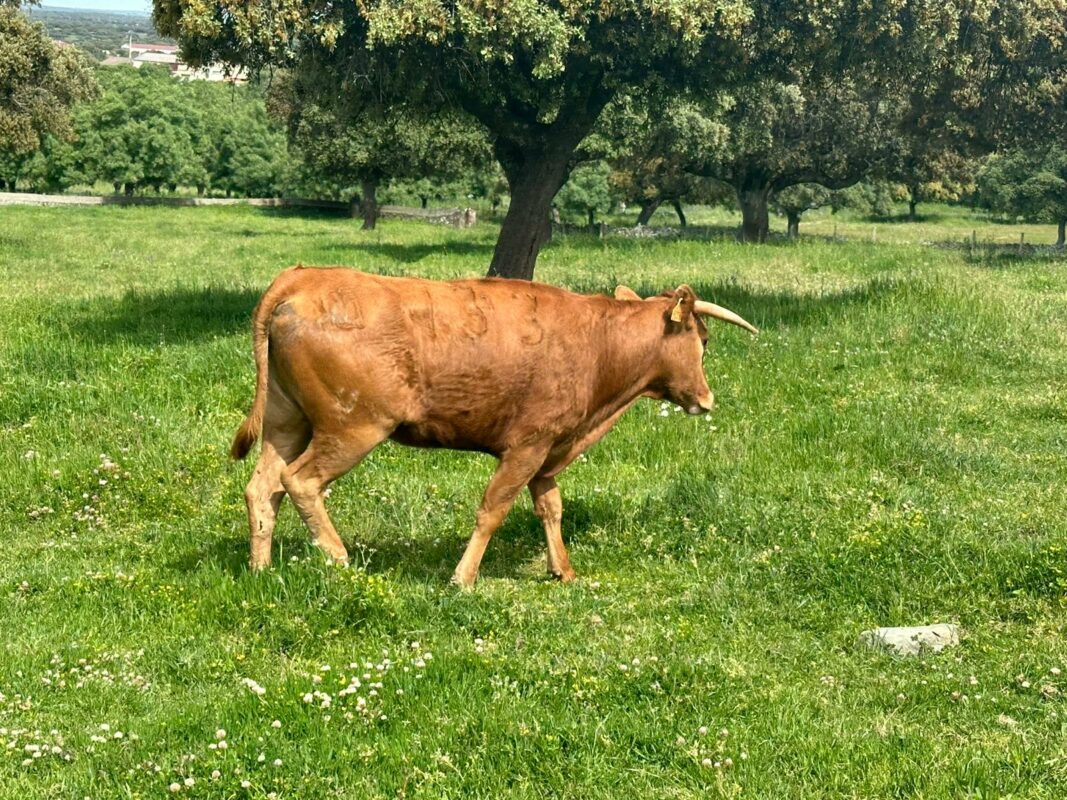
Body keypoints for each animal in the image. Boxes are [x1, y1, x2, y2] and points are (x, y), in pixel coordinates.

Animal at [231, 266, 759, 584]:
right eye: (704, 339)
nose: (707, 398)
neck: (597, 342)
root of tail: (303, 280)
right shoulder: (528, 445)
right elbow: (493, 509)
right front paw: (463, 577)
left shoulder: (548, 451)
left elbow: (551, 508)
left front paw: (562, 570)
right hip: (352, 428)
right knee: (300, 481)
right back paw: (340, 560)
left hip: (287, 421)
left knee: (262, 488)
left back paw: (260, 569)